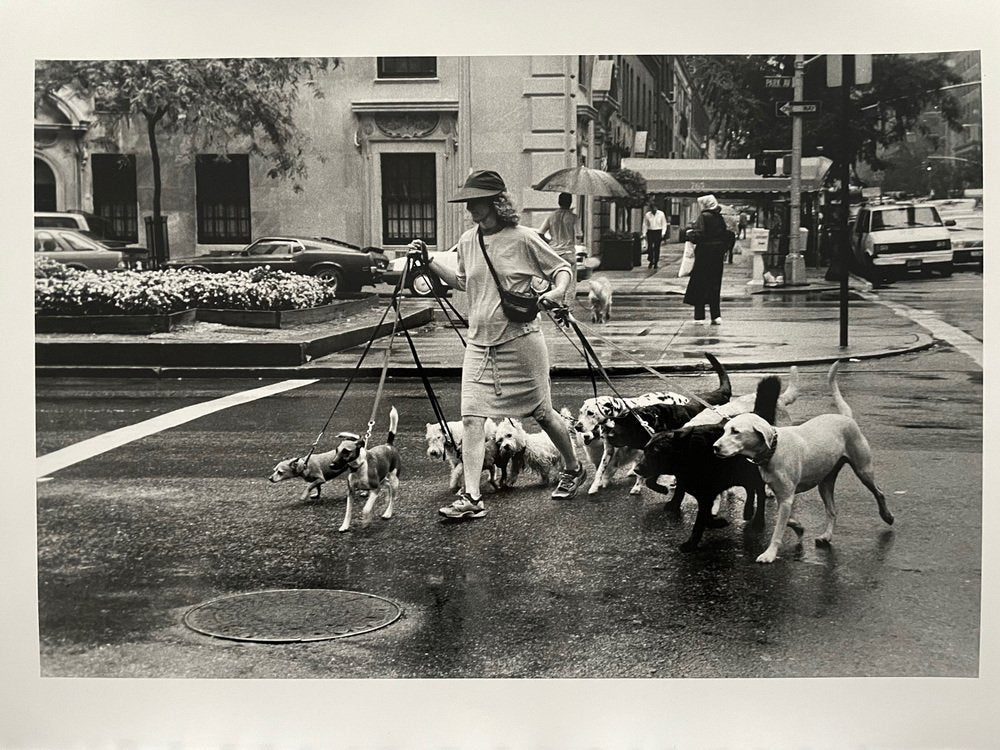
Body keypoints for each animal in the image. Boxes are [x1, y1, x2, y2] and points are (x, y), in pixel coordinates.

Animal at [274, 406, 402, 536]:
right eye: (336, 451)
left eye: (346, 452)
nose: (331, 465)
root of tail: (388, 445)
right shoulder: (351, 491)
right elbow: (347, 511)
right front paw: (344, 526)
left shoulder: (375, 488)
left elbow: (366, 508)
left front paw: (366, 520)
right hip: (382, 478)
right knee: (387, 485)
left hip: (393, 479)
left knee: (392, 496)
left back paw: (387, 512)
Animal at [716, 364, 896, 564]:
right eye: (724, 430)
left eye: (735, 431)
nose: (715, 447)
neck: (774, 449)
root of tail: (846, 418)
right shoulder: (781, 495)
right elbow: (786, 519)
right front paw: (799, 528)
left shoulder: (787, 497)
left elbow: (778, 529)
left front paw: (769, 554)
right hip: (825, 483)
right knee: (832, 511)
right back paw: (826, 536)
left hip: (863, 470)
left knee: (879, 492)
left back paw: (887, 516)